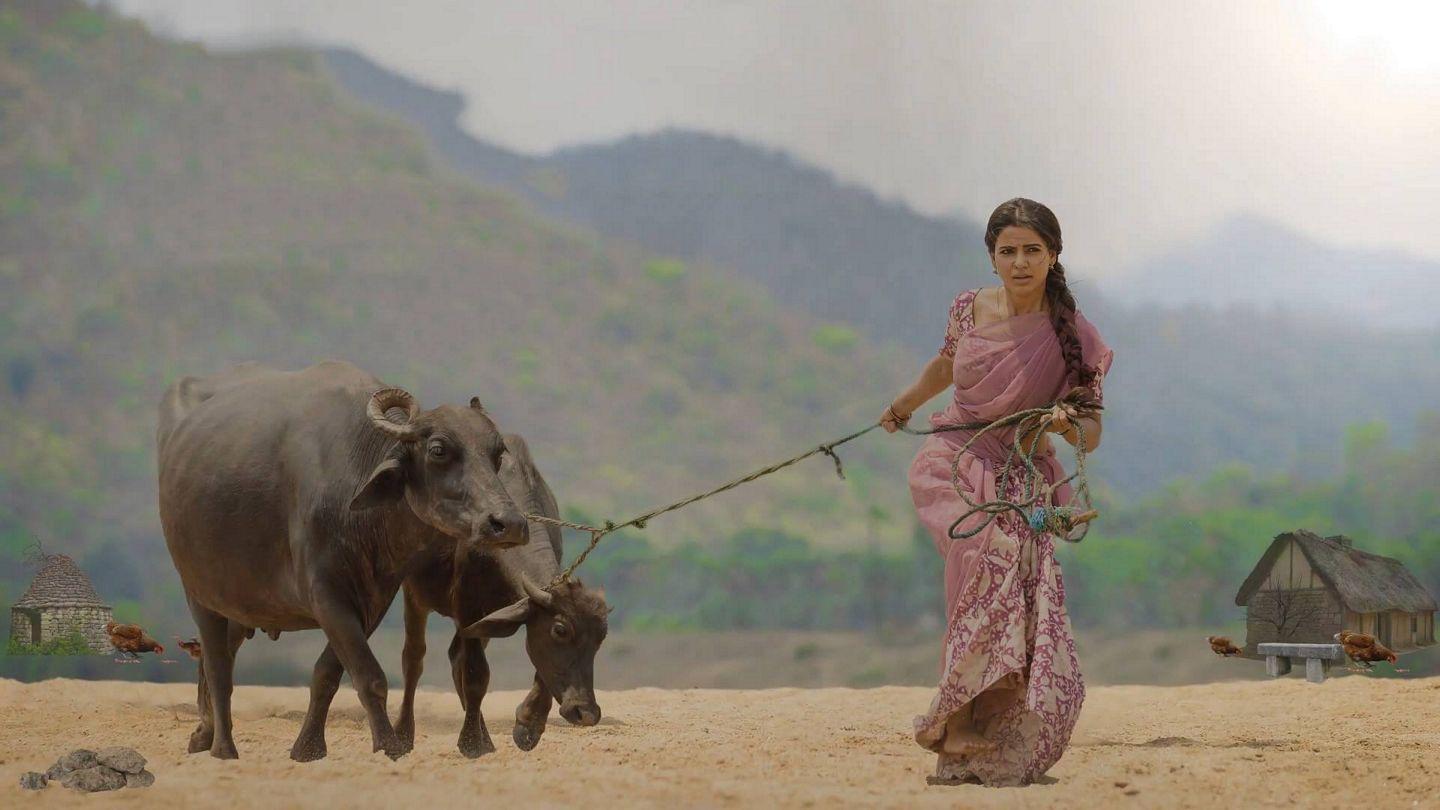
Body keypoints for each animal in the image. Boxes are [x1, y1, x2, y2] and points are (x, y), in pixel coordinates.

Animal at [159, 358, 529, 755]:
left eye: (497, 454)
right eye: (438, 450)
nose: (508, 523)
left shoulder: (371, 599)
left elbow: (328, 673)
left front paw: (307, 748)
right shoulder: (325, 593)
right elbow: (370, 677)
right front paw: (388, 747)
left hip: (240, 601)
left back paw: (204, 735)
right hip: (199, 593)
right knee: (218, 670)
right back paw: (223, 749)